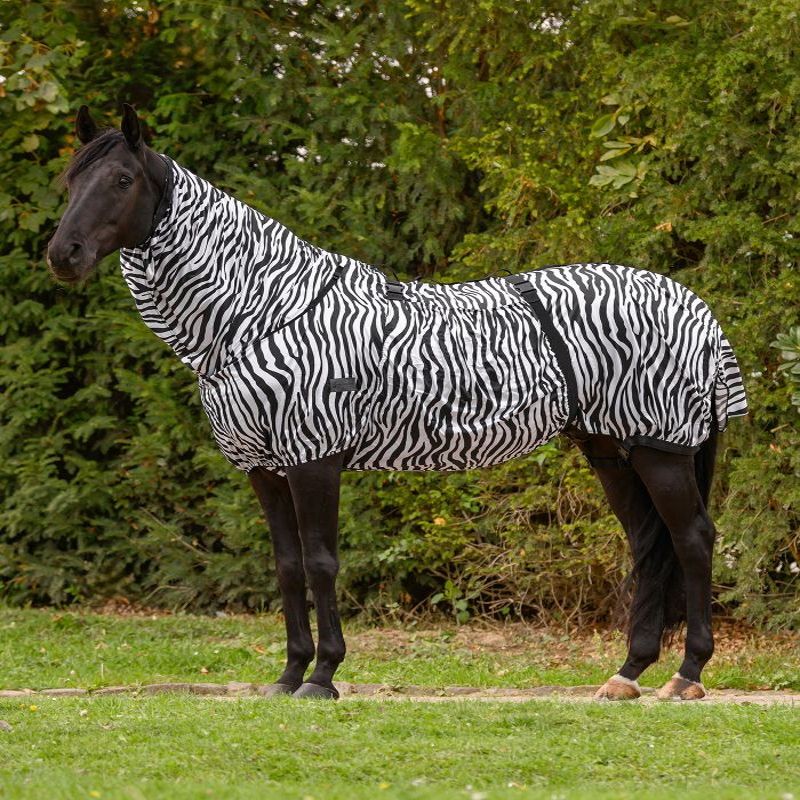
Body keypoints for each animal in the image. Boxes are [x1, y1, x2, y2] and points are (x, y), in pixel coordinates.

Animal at [48, 104, 747, 701]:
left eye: (121, 178)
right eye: (70, 179)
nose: (63, 255)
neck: (260, 311)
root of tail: (694, 305)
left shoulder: (314, 459)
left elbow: (322, 563)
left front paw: (323, 677)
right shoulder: (264, 469)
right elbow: (287, 567)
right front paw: (289, 674)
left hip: (660, 449)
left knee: (691, 538)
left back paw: (686, 676)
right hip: (610, 448)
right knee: (648, 544)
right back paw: (627, 674)